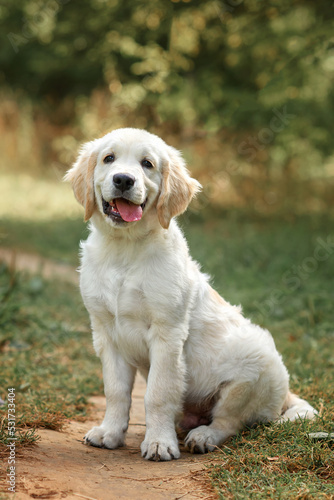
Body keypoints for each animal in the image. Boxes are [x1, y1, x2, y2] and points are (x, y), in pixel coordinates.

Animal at [64, 129, 316, 460]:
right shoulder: (106, 333)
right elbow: (116, 391)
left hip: (256, 366)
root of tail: (285, 395)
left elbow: (157, 394)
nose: (123, 180)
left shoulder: (167, 333)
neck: (125, 249)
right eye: (109, 158)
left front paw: (159, 443)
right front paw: (110, 433)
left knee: (229, 421)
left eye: (147, 164)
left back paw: (203, 436)